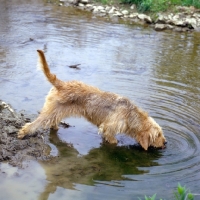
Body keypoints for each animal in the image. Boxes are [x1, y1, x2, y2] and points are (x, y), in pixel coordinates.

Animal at [17, 49, 167, 150]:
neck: (131, 115)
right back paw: (23, 133)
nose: (165, 143)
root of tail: (62, 84)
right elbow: (113, 140)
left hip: (56, 112)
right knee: (34, 124)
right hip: (50, 112)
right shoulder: (108, 128)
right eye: (158, 134)